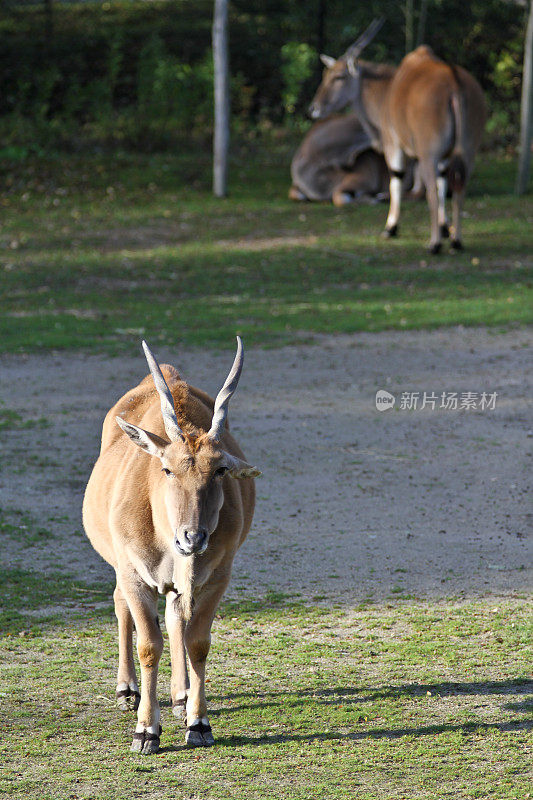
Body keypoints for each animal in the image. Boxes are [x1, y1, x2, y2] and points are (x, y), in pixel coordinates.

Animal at [81, 334, 260, 752]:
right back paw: (127, 691)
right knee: (120, 603)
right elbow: (149, 644)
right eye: (166, 469)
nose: (192, 537)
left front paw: (198, 722)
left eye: (220, 470)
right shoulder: (134, 573)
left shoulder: (217, 577)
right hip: (120, 566)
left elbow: (197, 641)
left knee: (177, 617)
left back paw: (179, 695)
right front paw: (146, 730)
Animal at [308, 19, 486, 253]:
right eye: (325, 76)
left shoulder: (393, 143)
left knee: (429, 191)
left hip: (428, 155)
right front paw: (446, 229)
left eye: (339, 76)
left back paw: (434, 243)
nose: (314, 109)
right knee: (458, 188)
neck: (389, 88)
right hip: (467, 152)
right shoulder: (443, 157)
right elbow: (442, 185)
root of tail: (453, 82)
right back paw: (456, 241)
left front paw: (390, 228)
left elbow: (397, 180)